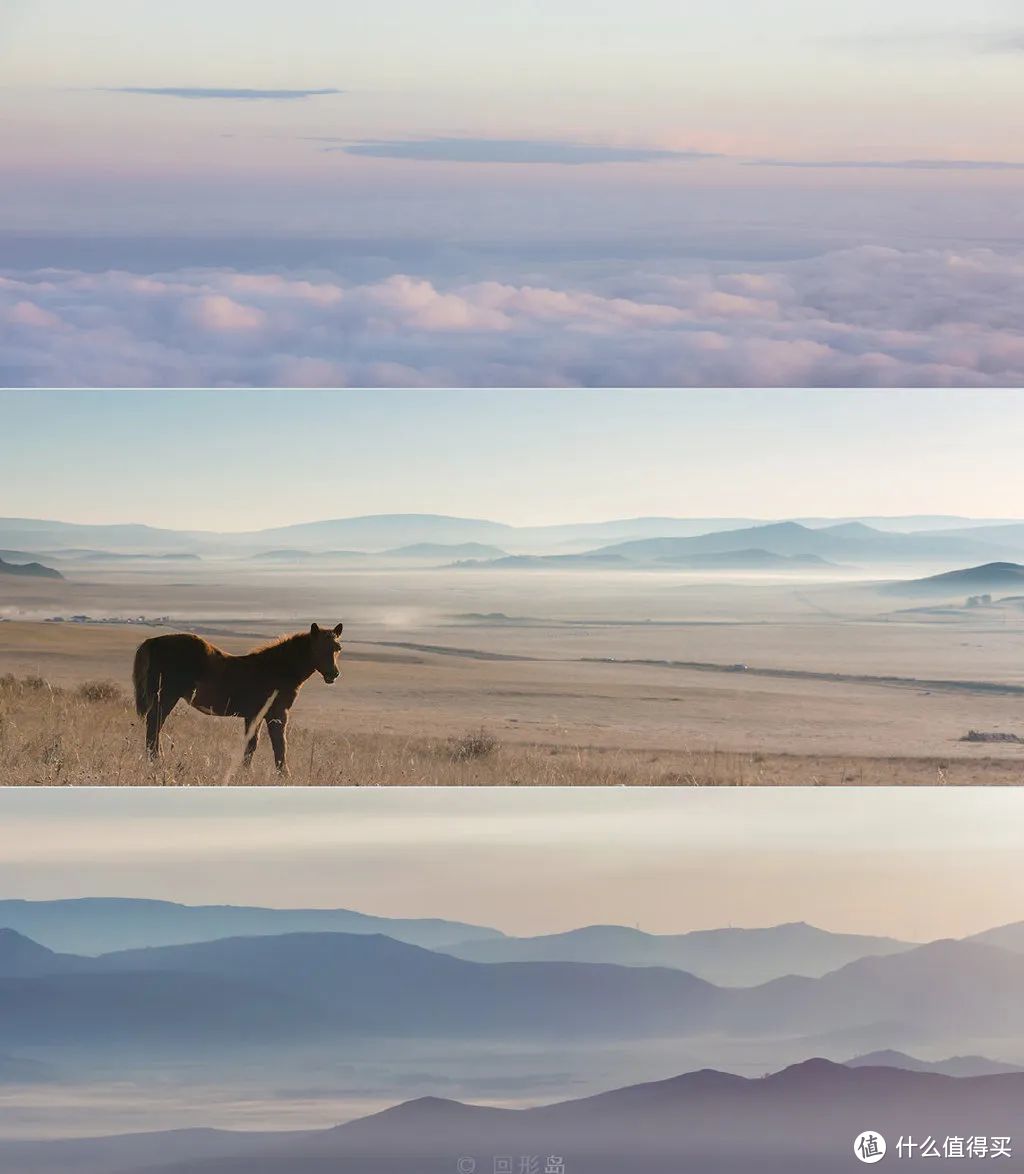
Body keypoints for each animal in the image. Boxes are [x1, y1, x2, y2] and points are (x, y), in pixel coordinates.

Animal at [133, 619, 342, 774]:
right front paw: (284, 775)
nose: (333, 674)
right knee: (155, 722)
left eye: (337, 648)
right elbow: (279, 744)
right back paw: (156, 760)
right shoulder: (277, 714)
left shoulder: (254, 716)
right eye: (319, 648)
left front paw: (246, 771)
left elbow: (252, 745)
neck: (276, 669)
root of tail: (153, 641)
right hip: (167, 695)